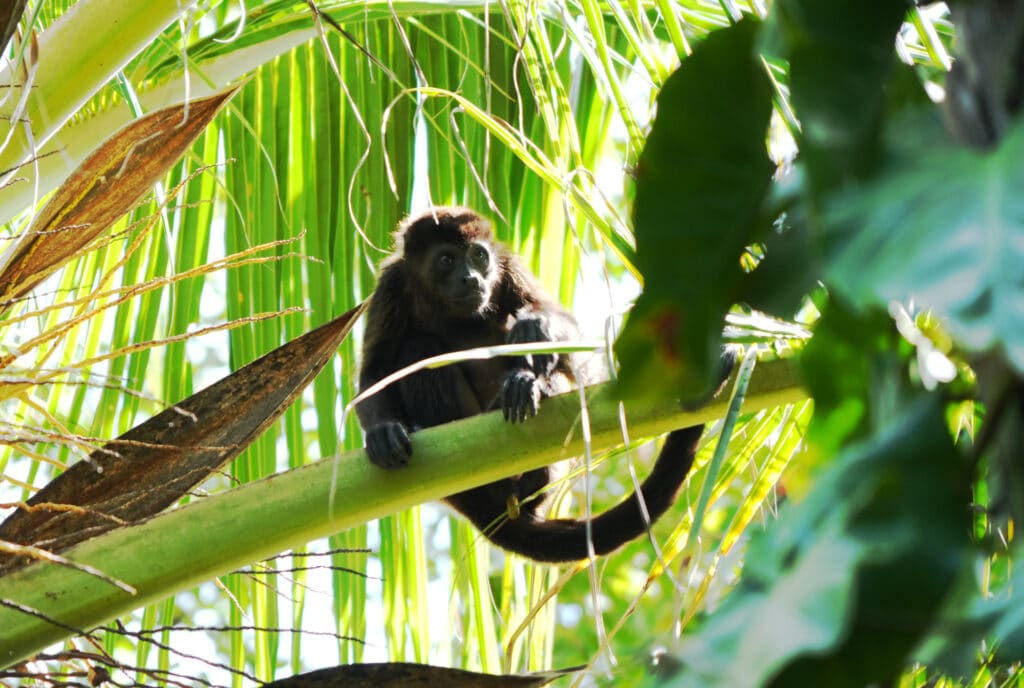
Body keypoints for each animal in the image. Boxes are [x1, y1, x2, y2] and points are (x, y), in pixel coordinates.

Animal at [355, 207, 731, 563]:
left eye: (478, 256)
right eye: (447, 260)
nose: (471, 277)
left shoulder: (508, 266)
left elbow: (572, 338)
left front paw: (536, 336)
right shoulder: (391, 285)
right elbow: (374, 371)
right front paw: (382, 432)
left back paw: (530, 391)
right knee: (416, 347)